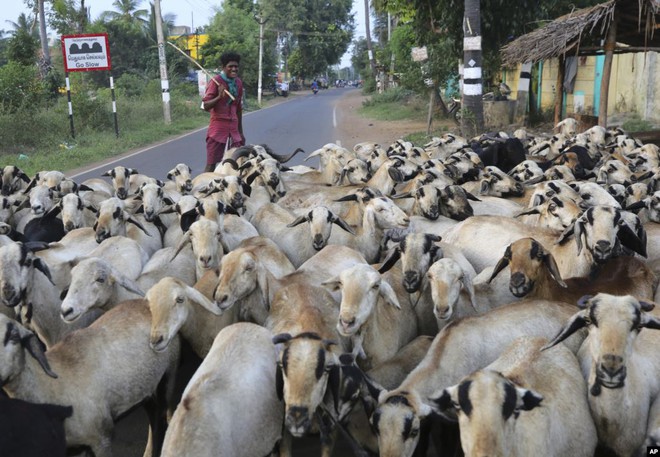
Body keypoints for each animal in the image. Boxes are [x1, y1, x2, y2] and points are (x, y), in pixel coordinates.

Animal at [0, 302, 180, 456]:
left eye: (13, 336)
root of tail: (146, 301)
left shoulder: (101, 438)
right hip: (146, 390)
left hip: (168, 375)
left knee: (163, 418)